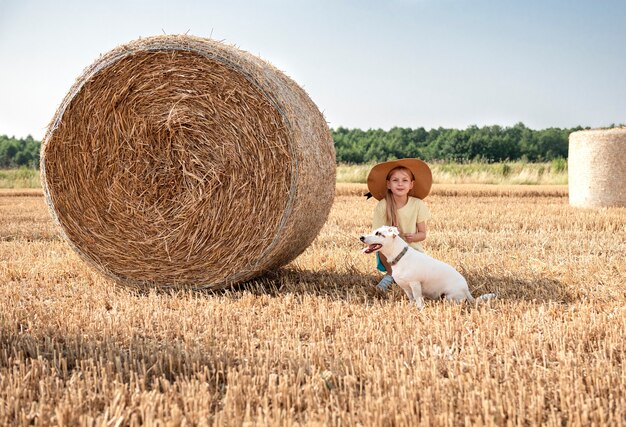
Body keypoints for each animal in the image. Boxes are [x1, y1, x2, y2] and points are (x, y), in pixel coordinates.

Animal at [358, 226, 494, 310]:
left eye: (378, 233)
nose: (361, 237)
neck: (400, 257)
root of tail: (467, 290)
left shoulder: (415, 284)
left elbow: (418, 299)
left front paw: (420, 310)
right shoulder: (406, 287)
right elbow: (411, 299)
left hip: (449, 297)